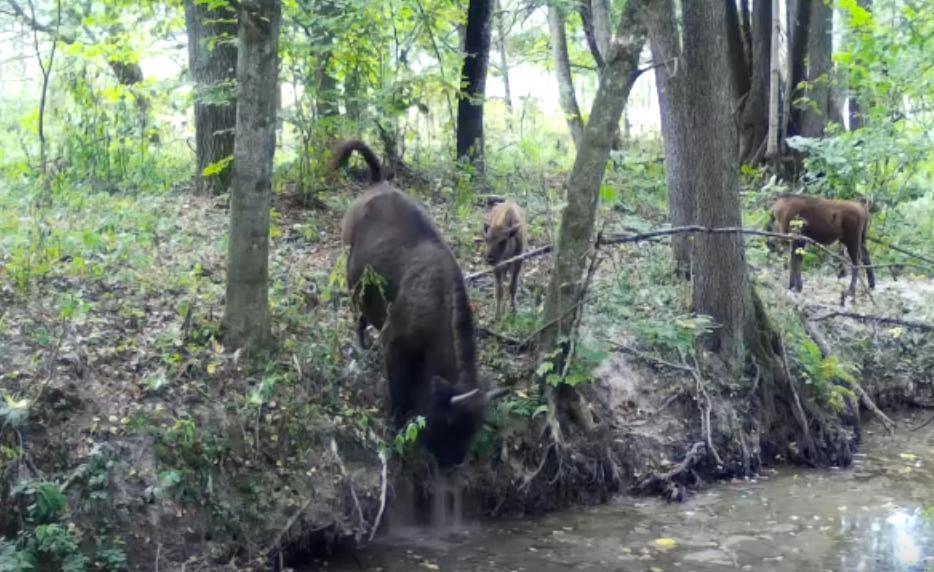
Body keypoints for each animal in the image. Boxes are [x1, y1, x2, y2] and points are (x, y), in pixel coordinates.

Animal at [336, 141, 508, 466]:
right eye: (451, 421)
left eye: (477, 426)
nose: (453, 462)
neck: (439, 306)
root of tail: (377, 184)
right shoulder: (395, 344)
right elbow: (398, 392)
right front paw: (397, 427)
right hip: (353, 276)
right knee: (358, 312)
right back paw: (361, 344)